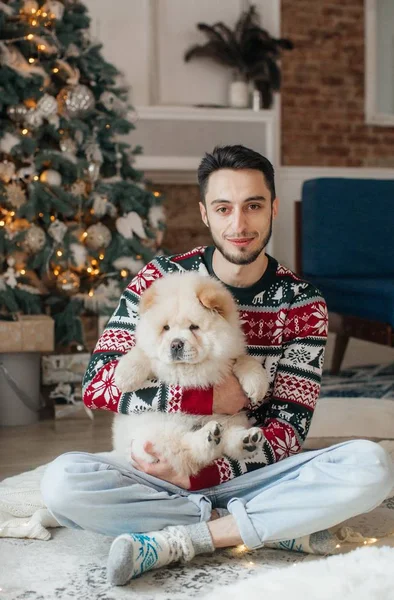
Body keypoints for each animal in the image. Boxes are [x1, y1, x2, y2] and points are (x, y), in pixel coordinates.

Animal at [112, 272, 270, 478]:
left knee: (224, 443)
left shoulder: (230, 357)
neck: (190, 368)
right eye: (166, 328)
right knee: (186, 448)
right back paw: (209, 436)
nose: (176, 344)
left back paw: (247, 439)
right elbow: (142, 354)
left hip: (230, 418)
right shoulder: (155, 360)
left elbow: (246, 360)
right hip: (156, 430)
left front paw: (257, 387)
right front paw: (124, 378)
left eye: (194, 327)